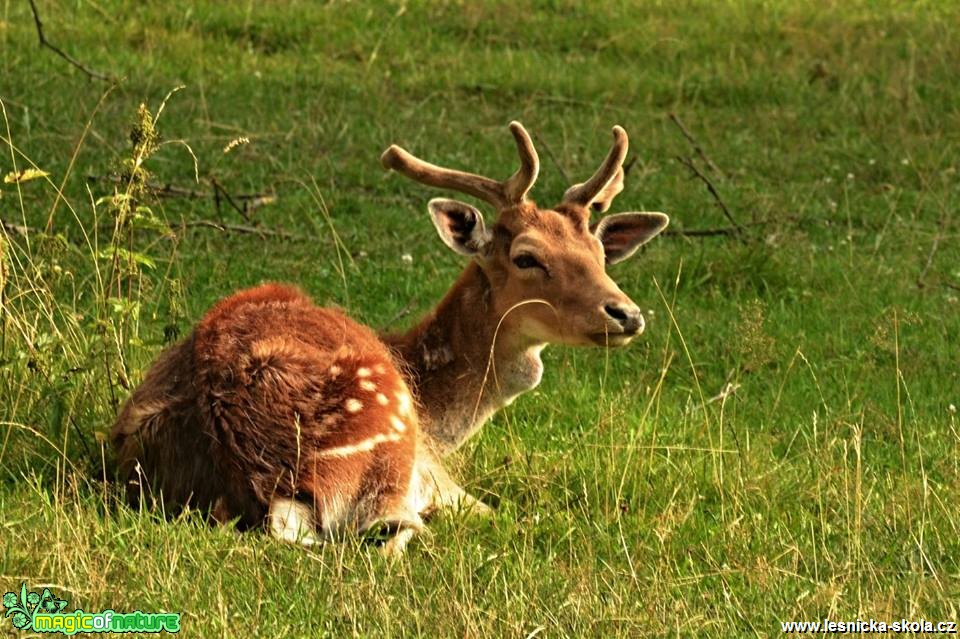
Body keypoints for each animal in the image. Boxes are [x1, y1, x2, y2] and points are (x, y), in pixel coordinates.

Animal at [110, 122, 668, 556]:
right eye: (527, 257)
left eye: (600, 253)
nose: (627, 314)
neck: (440, 418)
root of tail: (258, 474)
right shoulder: (436, 475)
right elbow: (493, 510)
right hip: (389, 442)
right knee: (393, 530)